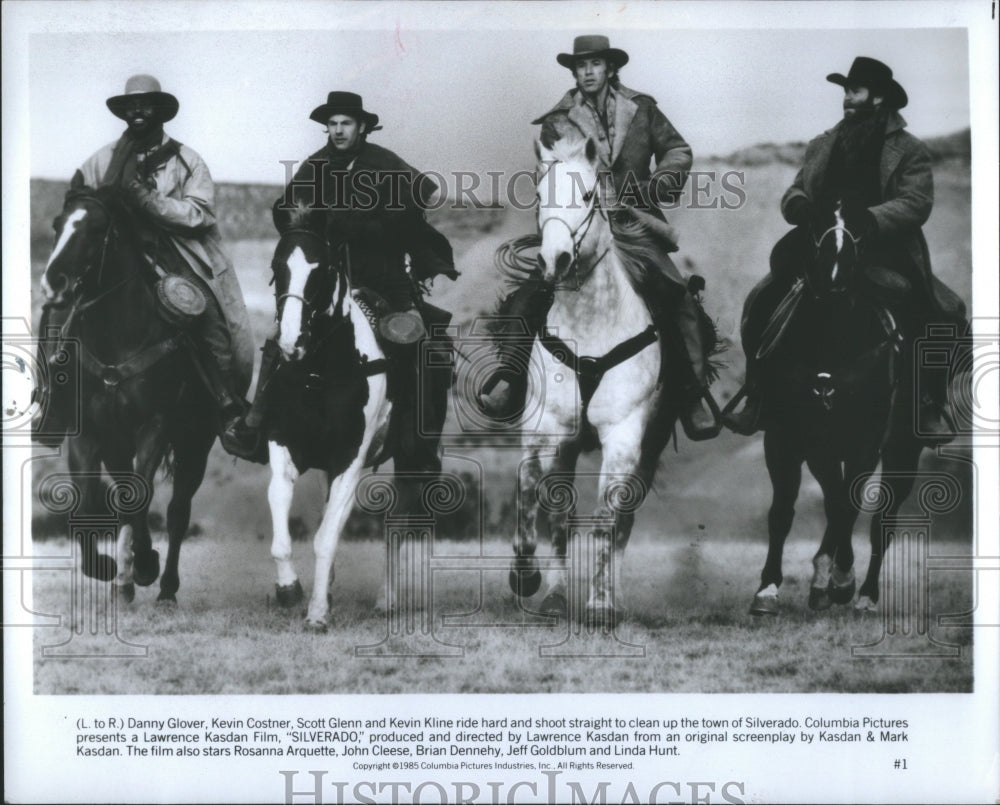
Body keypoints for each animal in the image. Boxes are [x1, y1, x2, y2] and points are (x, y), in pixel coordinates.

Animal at [42, 187, 218, 604]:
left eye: (96, 228)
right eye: (58, 224)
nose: (54, 282)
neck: (115, 339)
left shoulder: (154, 426)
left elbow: (139, 497)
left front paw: (146, 565)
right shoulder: (88, 434)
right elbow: (87, 501)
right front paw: (105, 567)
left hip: (194, 446)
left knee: (177, 511)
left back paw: (165, 586)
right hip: (118, 447)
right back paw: (123, 582)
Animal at [508, 130, 696, 620]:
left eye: (589, 195)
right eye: (539, 195)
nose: (553, 260)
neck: (590, 327)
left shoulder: (624, 434)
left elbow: (607, 519)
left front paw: (598, 602)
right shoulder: (545, 426)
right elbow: (529, 492)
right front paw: (525, 575)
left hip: (647, 450)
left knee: (624, 519)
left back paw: (612, 596)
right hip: (570, 446)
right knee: (558, 513)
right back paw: (555, 596)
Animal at [748, 203, 924, 616]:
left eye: (861, 230)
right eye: (815, 227)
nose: (835, 281)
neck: (831, 334)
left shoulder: (866, 440)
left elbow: (849, 505)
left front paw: (843, 582)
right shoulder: (789, 436)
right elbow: (786, 512)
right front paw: (769, 588)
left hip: (901, 449)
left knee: (879, 520)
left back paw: (865, 594)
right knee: (834, 500)